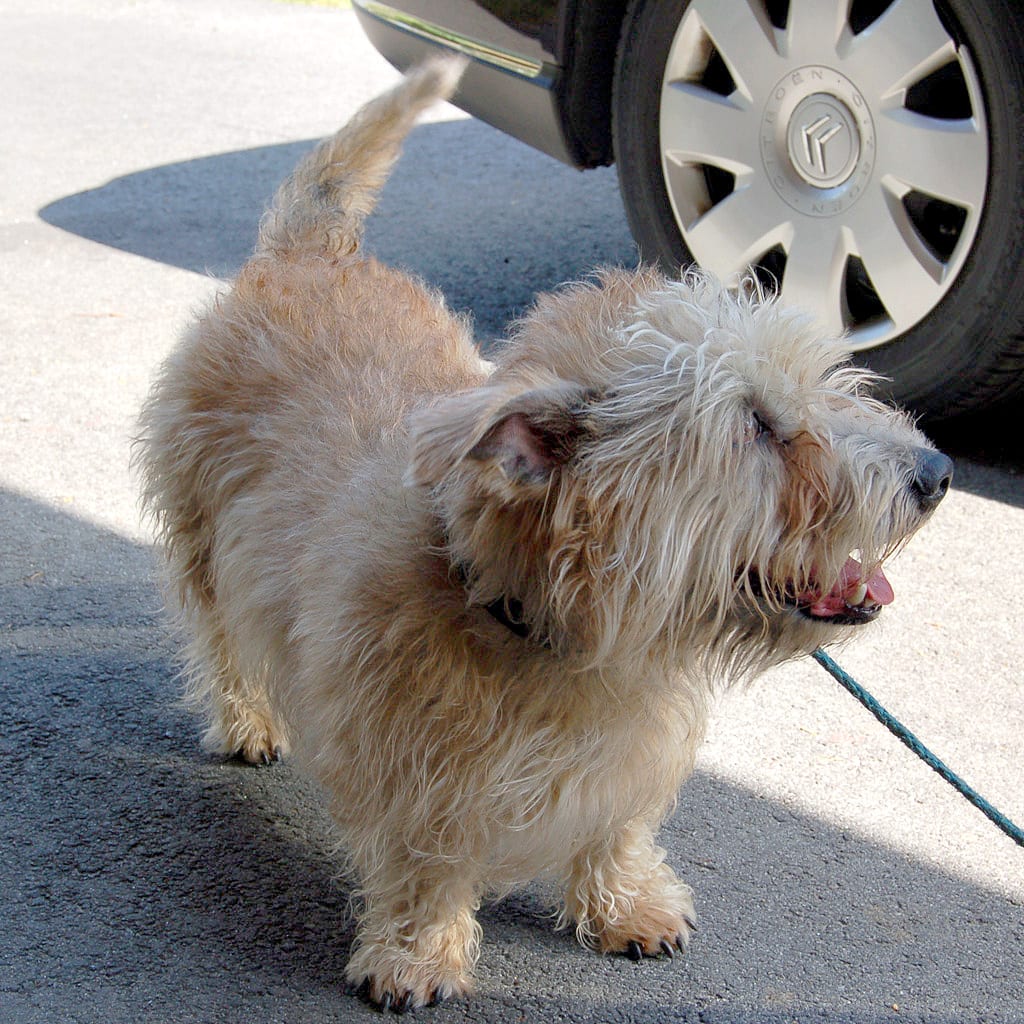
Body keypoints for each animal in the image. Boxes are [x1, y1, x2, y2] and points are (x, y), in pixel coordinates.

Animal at [136, 59, 950, 1011]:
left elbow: (617, 826)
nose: (937, 473)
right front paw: (416, 953)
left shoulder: (630, 758)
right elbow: (425, 860)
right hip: (207, 544)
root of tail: (310, 254)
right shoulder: (411, 770)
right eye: (754, 423)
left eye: (822, 384)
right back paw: (245, 718)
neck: (549, 630)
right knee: (221, 636)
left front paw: (625, 903)